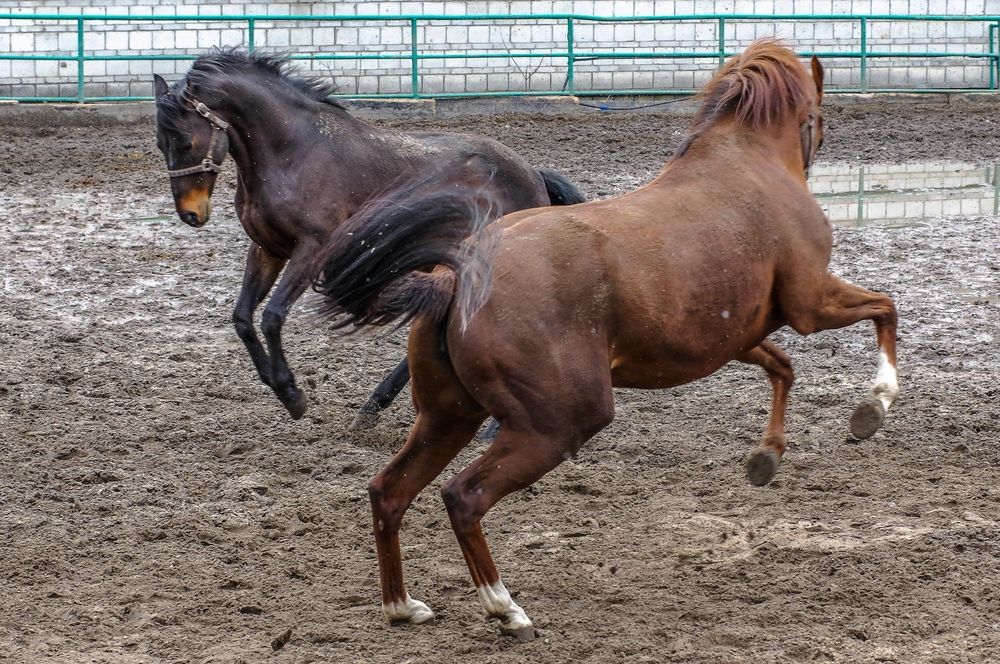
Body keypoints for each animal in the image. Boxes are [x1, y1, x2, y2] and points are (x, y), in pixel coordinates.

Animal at [152, 49, 585, 425]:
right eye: (159, 143)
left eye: (186, 141)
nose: (191, 214)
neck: (294, 152)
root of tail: (533, 176)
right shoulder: (267, 250)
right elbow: (242, 318)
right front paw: (278, 387)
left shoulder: (312, 250)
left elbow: (273, 317)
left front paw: (292, 393)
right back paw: (373, 407)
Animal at [313, 40, 899, 639]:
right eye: (818, 117)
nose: (815, 148)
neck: (748, 165)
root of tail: (461, 275)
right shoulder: (811, 304)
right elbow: (885, 310)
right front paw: (873, 406)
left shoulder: (737, 335)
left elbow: (783, 366)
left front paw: (767, 455)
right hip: (556, 424)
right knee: (463, 497)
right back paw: (505, 608)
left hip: (447, 416)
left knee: (389, 491)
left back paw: (402, 605)